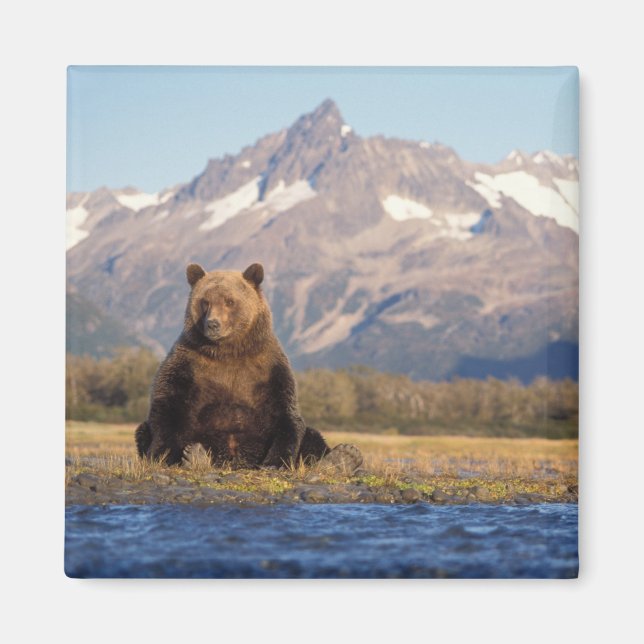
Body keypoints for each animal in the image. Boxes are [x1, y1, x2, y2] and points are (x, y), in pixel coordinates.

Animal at [135, 262, 362, 473]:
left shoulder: (268, 368)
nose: (213, 324)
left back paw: (344, 456)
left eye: (230, 301)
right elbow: (167, 407)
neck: (228, 351)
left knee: (312, 436)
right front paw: (164, 455)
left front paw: (274, 462)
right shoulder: (188, 364)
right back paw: (196, 456)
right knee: (143, 430)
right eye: (205, 301)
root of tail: (236, 462)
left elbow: (285, 414)